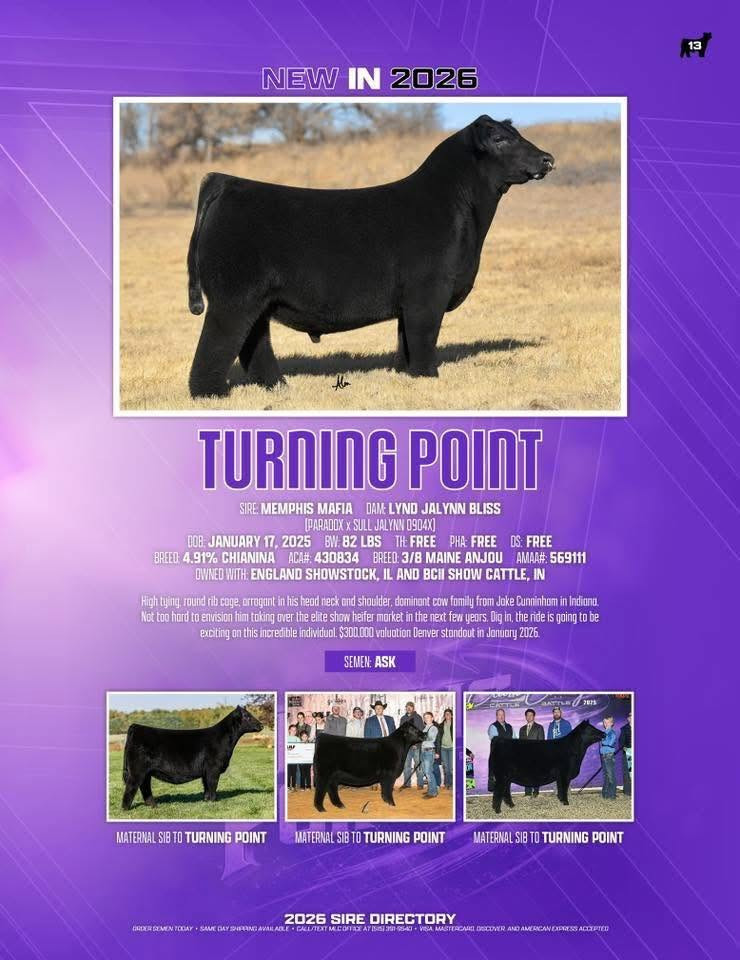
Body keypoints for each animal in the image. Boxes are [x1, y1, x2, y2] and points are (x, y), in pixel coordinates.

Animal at [121, 705, 263, 809]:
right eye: (248, 717)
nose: (261, 725)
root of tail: (136, 727)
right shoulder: (213, 768)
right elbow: (212, 785)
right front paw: (213, 802)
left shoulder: (206, 771)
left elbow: (206, 787)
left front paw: (206, 801)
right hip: (137, 770)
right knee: (131, 787)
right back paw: (125, 809)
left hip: (146, 772)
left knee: (144, 786)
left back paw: (153, 805)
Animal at [186, 116, 554, 397]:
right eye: (500, 139)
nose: (547, 159)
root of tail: (227, 182)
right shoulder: (428, 290)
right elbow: (424, 334)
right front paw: (428, 375)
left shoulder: (411, 298)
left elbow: (406, 338)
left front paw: (407, 373)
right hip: (234, 298)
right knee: (217, 342)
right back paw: (211, 394)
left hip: (257, 300)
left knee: (255, 342)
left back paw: (277, 385)